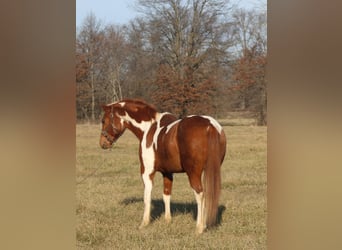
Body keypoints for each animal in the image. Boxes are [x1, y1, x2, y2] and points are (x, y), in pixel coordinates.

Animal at [99, 98, 227, 233]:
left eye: (103, 120)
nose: (103, 143)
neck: (148, 128)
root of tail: (209, 125)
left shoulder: (146, 172)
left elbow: (147, 196)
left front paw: (144, 223)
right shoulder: (167, 172)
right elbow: (166, 195)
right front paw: (167, 220)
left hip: (193, 173)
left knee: (199, 194)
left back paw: (199, 227)